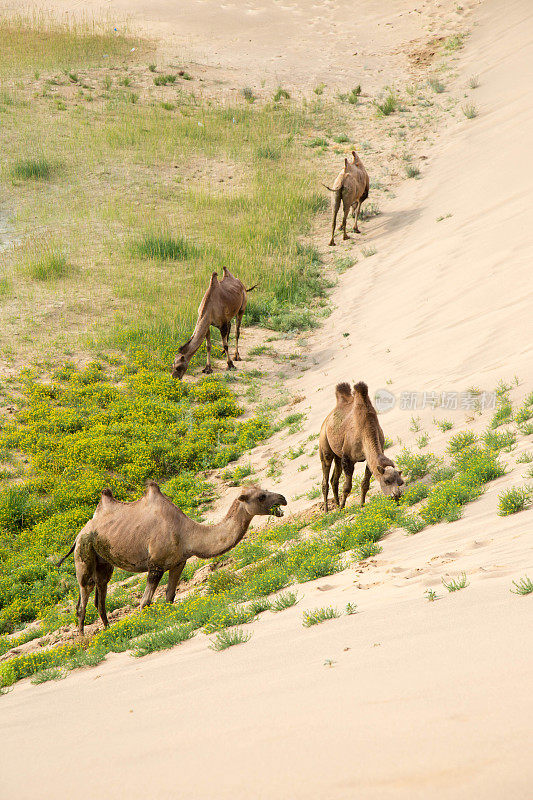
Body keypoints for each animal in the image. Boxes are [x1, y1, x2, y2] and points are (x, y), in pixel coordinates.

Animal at [56, 478, 284, 636]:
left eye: (264, 491)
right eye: (261, 496)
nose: (283, 498)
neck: (187, 534)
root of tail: (79, 534)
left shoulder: (178, 563)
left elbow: (169, 597)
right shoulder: (155, 565)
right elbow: (145, 602)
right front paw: (147, 628)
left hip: (104, 563)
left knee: (100, 597)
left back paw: (107, 630)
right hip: (83, 554)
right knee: (83, 598)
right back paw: (83, 639)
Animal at [320, 382, 404, 510]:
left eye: (400, 482)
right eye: (387, 481)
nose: (397, 496)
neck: (366, 430)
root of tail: (327, 419)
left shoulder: (368, 458)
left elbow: (365, 483)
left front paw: (362, 504)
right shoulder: (347, 458)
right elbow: (347, 486)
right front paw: (342, 508)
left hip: (337, 455)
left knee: (334, 479)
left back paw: (337, 504)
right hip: (324, 444)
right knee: (325, 477)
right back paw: (327, 510)